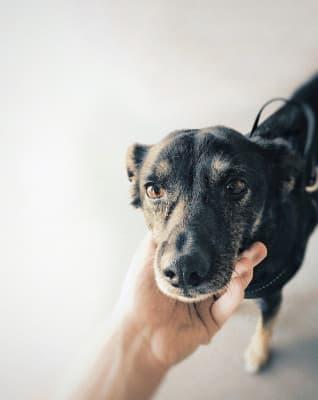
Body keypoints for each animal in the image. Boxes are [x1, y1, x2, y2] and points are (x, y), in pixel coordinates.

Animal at [125, 74, 318, 372]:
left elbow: (266, 327)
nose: (183, 271)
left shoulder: (273, 295)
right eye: (153, 190)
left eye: (236, 186)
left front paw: (257, 354)